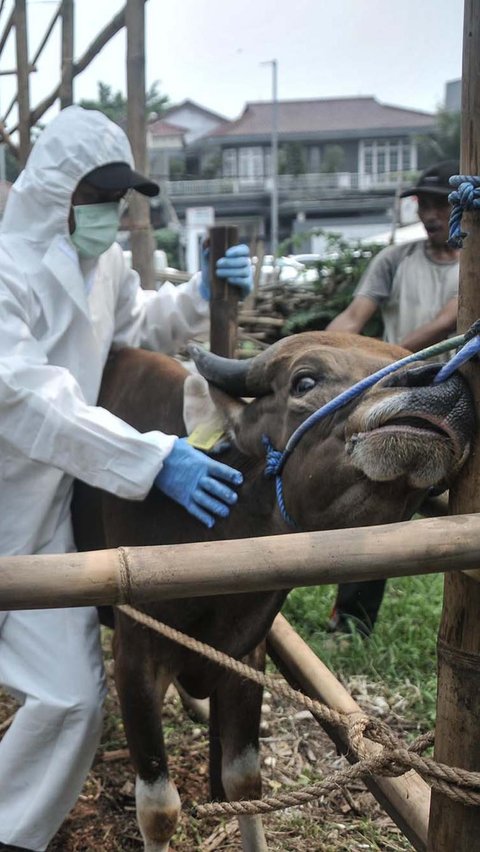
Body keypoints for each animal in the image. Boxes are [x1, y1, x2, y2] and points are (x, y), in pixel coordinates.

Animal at [73, 332, 474, 852]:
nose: (442, 386)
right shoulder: (136, 652)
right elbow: (159, 810)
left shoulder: (246, 654)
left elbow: (244, 781)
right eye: (304, 380)